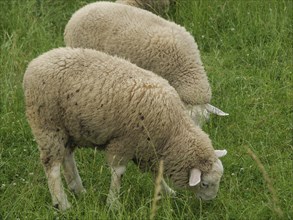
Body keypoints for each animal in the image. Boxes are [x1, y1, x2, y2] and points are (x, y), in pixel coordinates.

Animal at [24, 47, 227, 211]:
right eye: (205, 184)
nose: (209, 202)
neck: (173, 132)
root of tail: (35, 62)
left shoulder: (147, 150)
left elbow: (156, 173)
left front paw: (167, 192)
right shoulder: (124, 142)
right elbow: (118, 173)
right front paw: (113, 204)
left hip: (69, 129)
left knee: (67, 156)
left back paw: (78, 189)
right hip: (47, 125)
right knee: (52, 167)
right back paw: (62, 204)